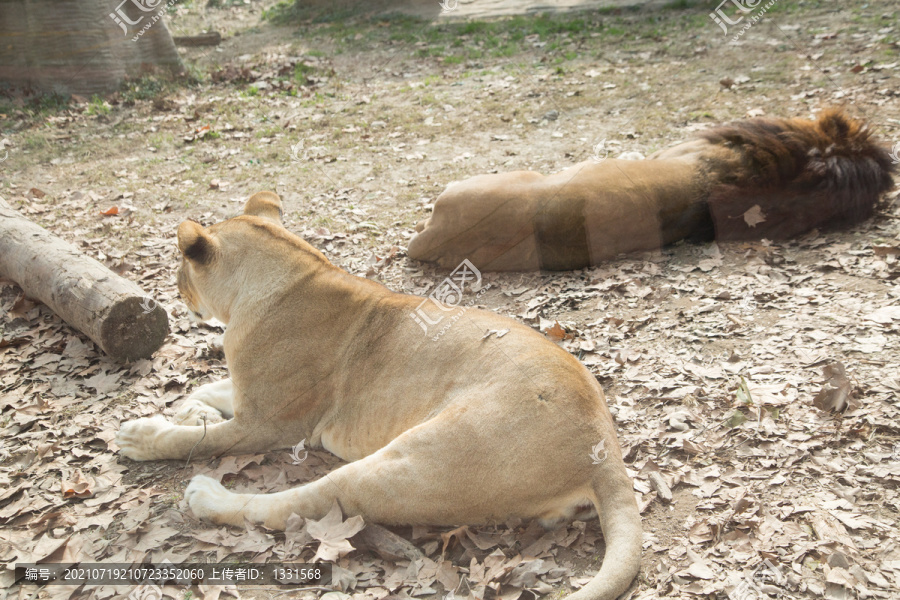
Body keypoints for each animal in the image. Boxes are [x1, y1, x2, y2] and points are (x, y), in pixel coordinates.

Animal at [116, 193, 644, 600]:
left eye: (180, 269)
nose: (176, 294)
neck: (287, 272)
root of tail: (604, 451)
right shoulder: (252, 399)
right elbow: (207, 390)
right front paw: (191, 407)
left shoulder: (267, 423)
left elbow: (197, 439)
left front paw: (142, 435)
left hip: (412, 462)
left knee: (293, 504)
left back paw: (208, 495)